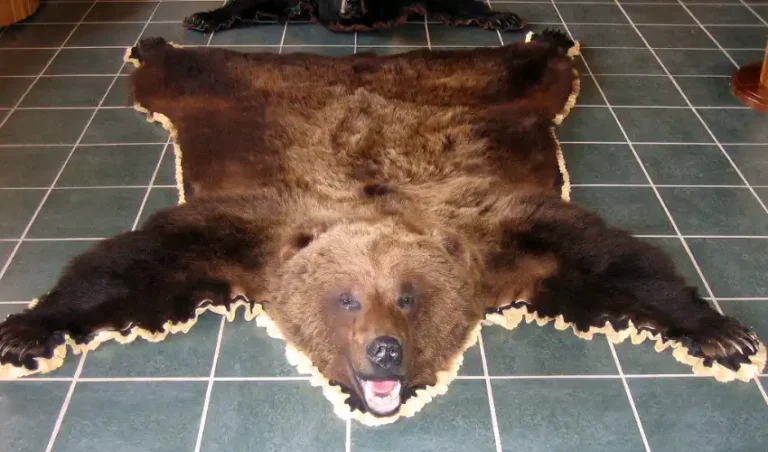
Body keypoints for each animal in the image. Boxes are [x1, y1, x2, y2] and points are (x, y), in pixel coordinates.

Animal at [0, 31, 764, 426]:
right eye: (345, 298)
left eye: (408, 296)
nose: (385, 351)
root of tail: (364, 57)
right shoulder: (257, 228)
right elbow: (137, 259)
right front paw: (29, 330)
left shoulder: (493, 229)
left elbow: (608, 256)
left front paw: (720, 334)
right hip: (227, 88)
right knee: (183, 68)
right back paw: (155, 39)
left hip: (496, 88)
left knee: (530, 64)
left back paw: (547, 34)